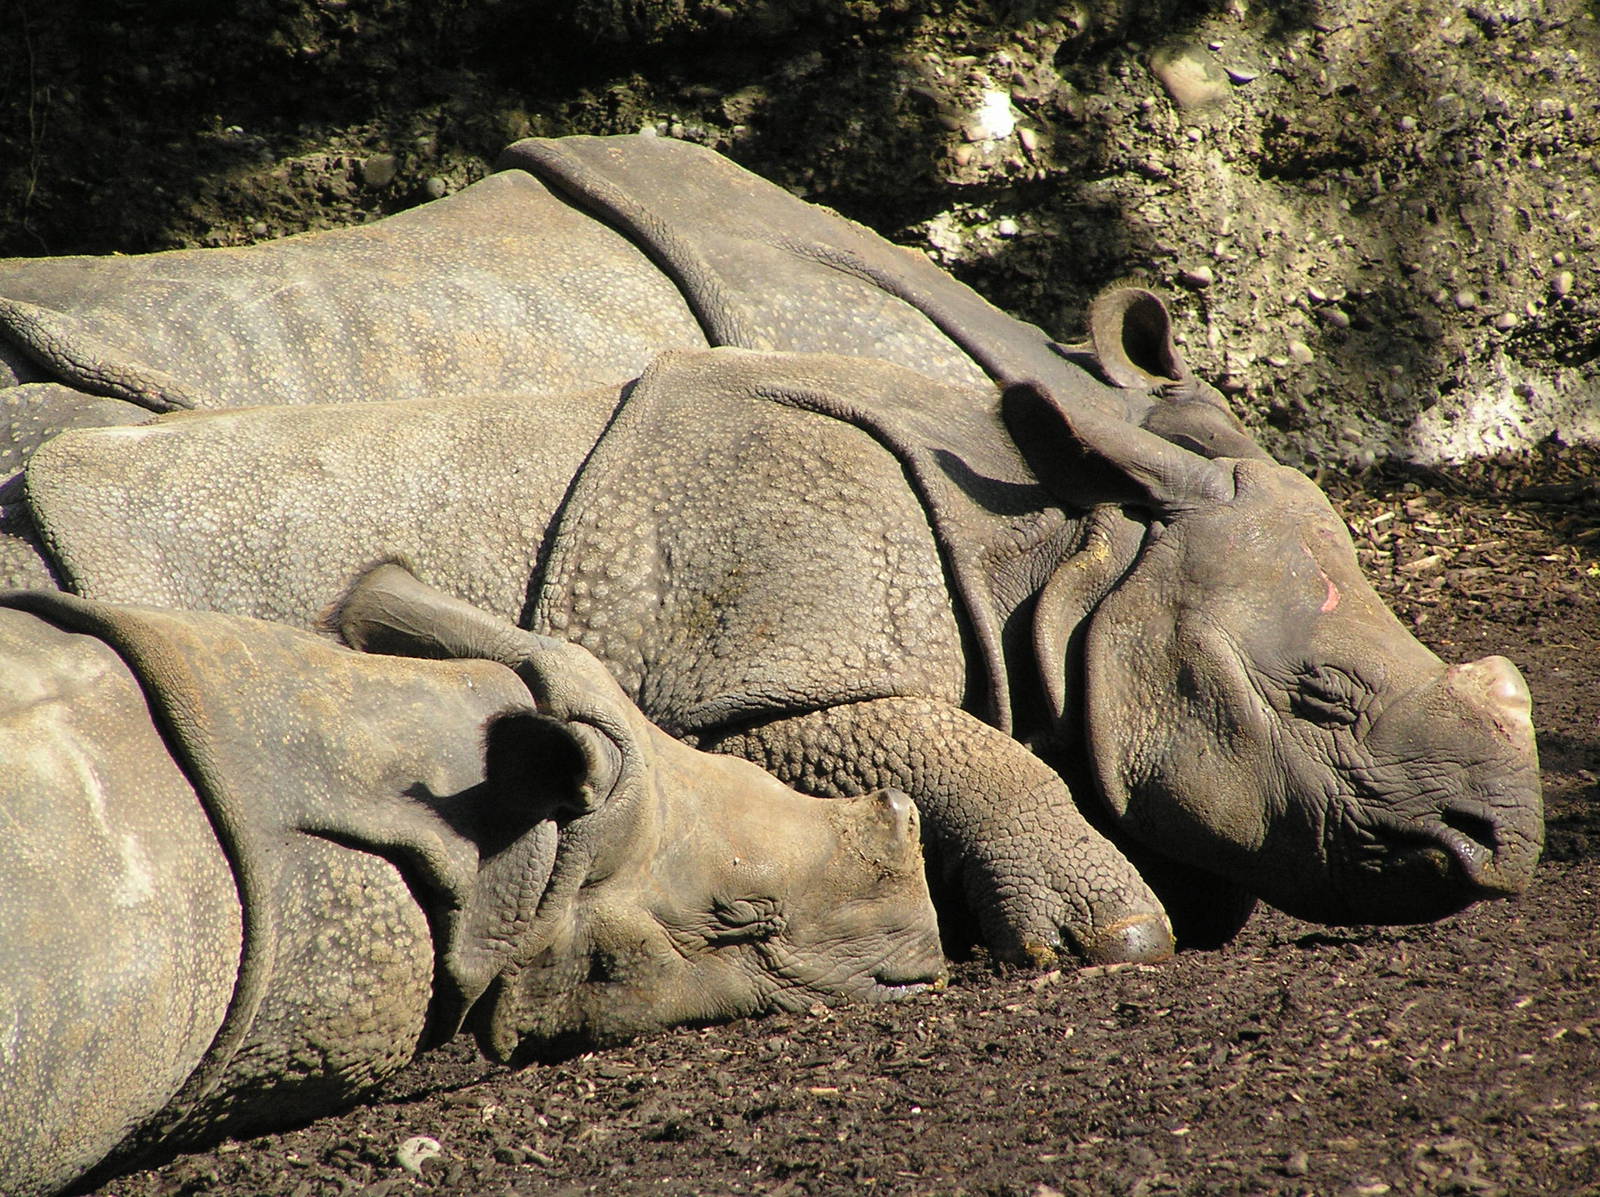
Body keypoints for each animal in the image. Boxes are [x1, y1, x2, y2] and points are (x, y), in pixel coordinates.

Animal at [0, 135, 1543, 965]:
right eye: (1318, 697)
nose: (1506, 851)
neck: (1052, 552)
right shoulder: (745, 675)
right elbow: (937, 745)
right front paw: (1108, 939)